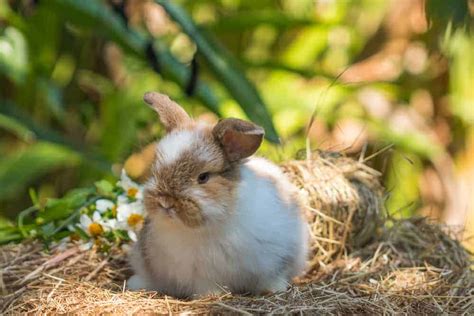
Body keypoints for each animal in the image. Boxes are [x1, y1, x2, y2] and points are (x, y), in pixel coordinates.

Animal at [128, 92, 310, 298]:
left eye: (203, 177)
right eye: (155, 171)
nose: (166, 203)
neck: (215, 223)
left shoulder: (275, 259)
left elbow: (272, 277)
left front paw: (272, 290)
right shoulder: (200, 274)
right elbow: (207, 286)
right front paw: (211, 297)